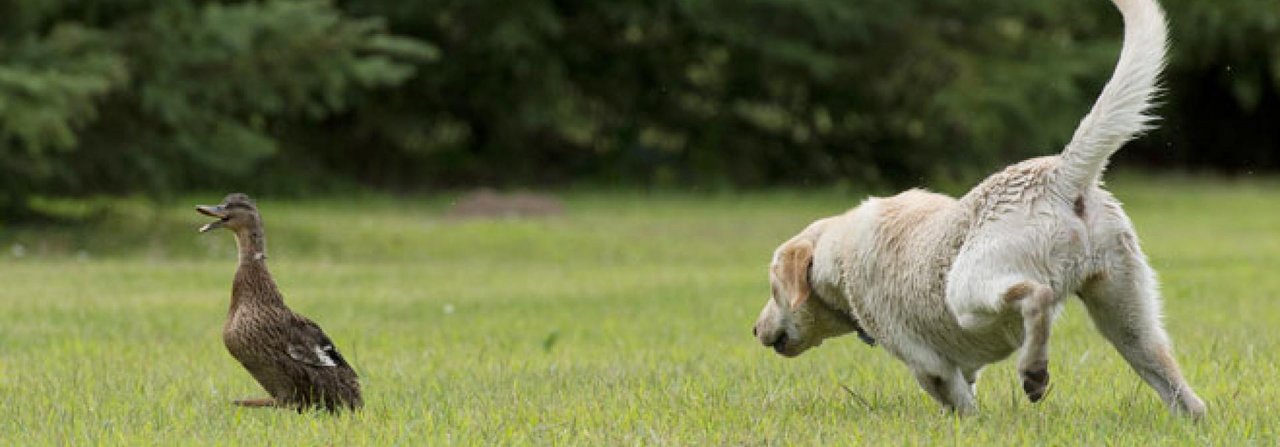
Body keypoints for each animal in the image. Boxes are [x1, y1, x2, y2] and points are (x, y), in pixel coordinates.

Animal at [747, 0, 1203, 414]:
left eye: (773, 287)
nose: (753, 329)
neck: (834, 253)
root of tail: (1060, 174)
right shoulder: (958, 367)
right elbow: (967, 385)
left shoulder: (927, 363)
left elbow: (956, 400)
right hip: (1127, 319)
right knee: (1185, 396)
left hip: (968, 291)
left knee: (1035, 296)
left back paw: (1034, 372)